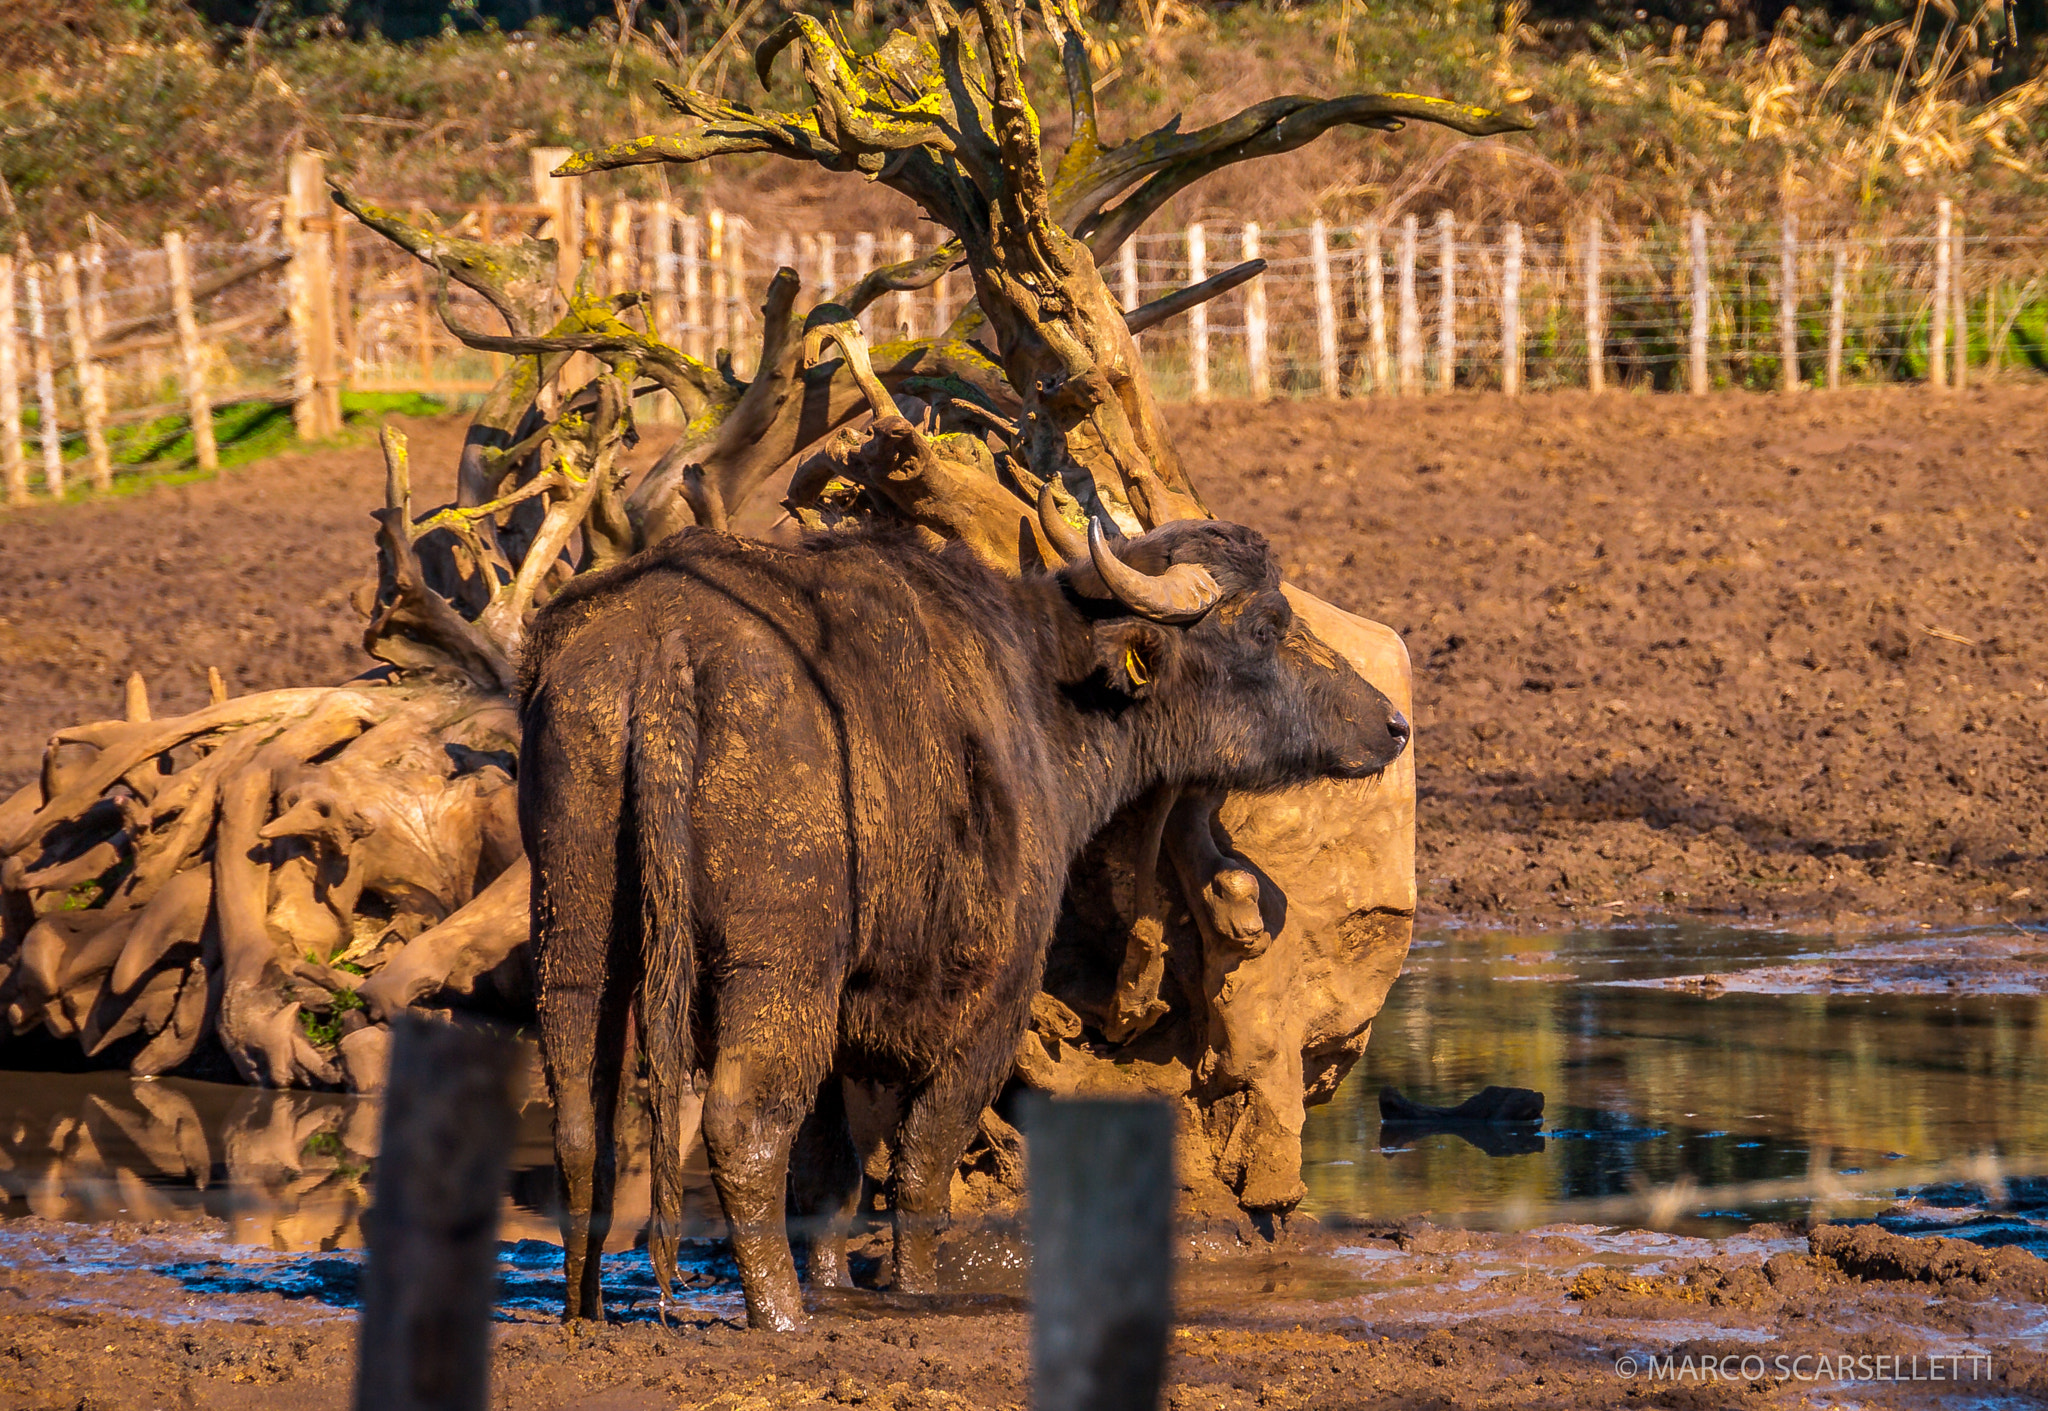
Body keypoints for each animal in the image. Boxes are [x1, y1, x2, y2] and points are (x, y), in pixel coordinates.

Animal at [518, 490, 1410, 1330]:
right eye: (1265, 626)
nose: (1394, 723)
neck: (1045, 690)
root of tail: (665, 645)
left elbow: (832, 1172)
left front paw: (837, 1283)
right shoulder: (990, 1003)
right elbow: (920, 1167)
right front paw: (913, 1288)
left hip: (576, 932)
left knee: (579, 1117)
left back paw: (584, 1307)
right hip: (777, 966)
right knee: (742, 1123)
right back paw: (779, 1315)